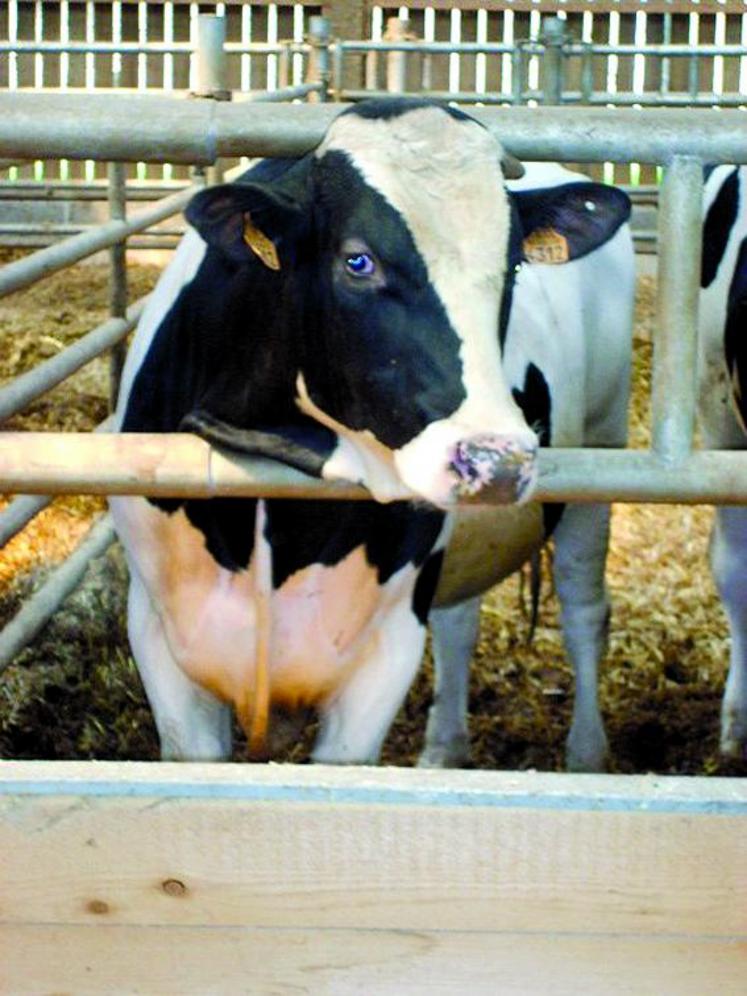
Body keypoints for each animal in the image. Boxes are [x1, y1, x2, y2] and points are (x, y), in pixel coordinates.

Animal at [109, 99, 632, 764]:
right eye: (358, 261)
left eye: (512, 263)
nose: (496, 462)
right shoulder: (158, 640)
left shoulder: (386, 653)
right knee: (459, 621)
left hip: (603, 446)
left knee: (584, 610)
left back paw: (586, 754)